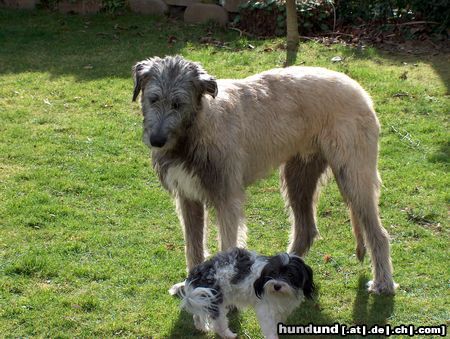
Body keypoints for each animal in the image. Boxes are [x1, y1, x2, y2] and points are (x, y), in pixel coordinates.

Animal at [133, 55, 398, 294]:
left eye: (178, 103)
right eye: (153, 99)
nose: (156, 141)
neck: (197, 128)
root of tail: (358, 88)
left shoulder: (227, 198)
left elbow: (226, 245)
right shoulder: (188, 197)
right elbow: (193, 245)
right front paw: (189, 284)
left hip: (353, 174)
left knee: (378, 233)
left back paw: (383, 283)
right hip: (298, 175)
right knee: (305, 228)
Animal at [171, 247, 314, 339]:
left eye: (290, 275)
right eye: (273, 273)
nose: (277, 286)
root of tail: (196, 274)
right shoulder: (266, 310)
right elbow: (270, 330)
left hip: (202, 298)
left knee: (198, 314)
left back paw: (202, 327)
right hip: (216, 301)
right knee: (219, 324)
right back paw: (228, 335)